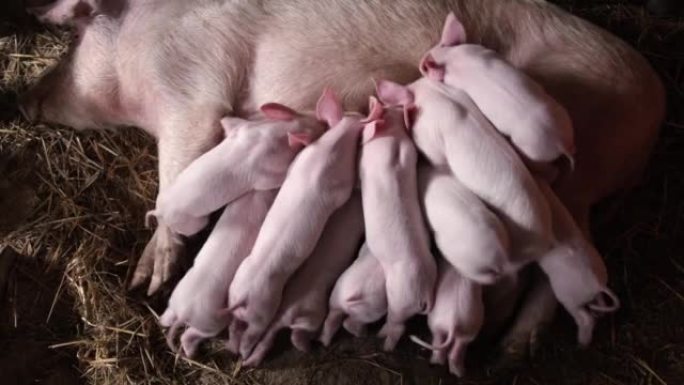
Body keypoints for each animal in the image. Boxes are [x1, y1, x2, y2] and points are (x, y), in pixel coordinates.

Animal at [20, 0, 664, 356]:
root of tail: (655, 97)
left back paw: (513, 348)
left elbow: (176, 174)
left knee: (570, 260)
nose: (27, 97)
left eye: (76, 37)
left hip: (580, 169)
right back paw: (502, 342)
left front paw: (146, 280)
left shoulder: (192, 91)